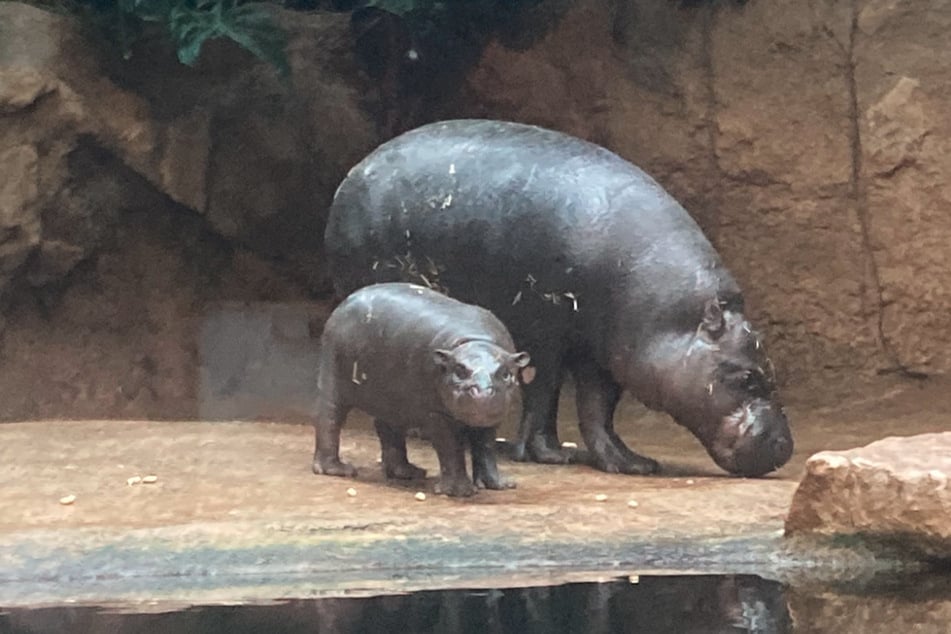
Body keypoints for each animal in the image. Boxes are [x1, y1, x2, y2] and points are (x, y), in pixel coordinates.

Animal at [314, 280, 532, 494]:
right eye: (459, 370)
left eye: (506, 373)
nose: (483, 392)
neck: (476, 342)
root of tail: (347, 300)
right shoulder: (436, 413)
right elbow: (451, 447)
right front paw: (460, 491)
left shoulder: (489, 419)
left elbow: (486, 446)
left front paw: (500, 485)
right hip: (334, 377)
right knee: (329, 418)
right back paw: (338, 470)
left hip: (391, 397)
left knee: (388, 428)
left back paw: (408, 472)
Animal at [328, 117, 796, 474]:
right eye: (747, 376)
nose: (785, 446)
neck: (673, 317)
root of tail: (354, 172)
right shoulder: (546, 336)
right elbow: (545, 393)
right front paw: (550, 456)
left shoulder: (601, 353)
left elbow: (598, 410)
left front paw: (632, 463)